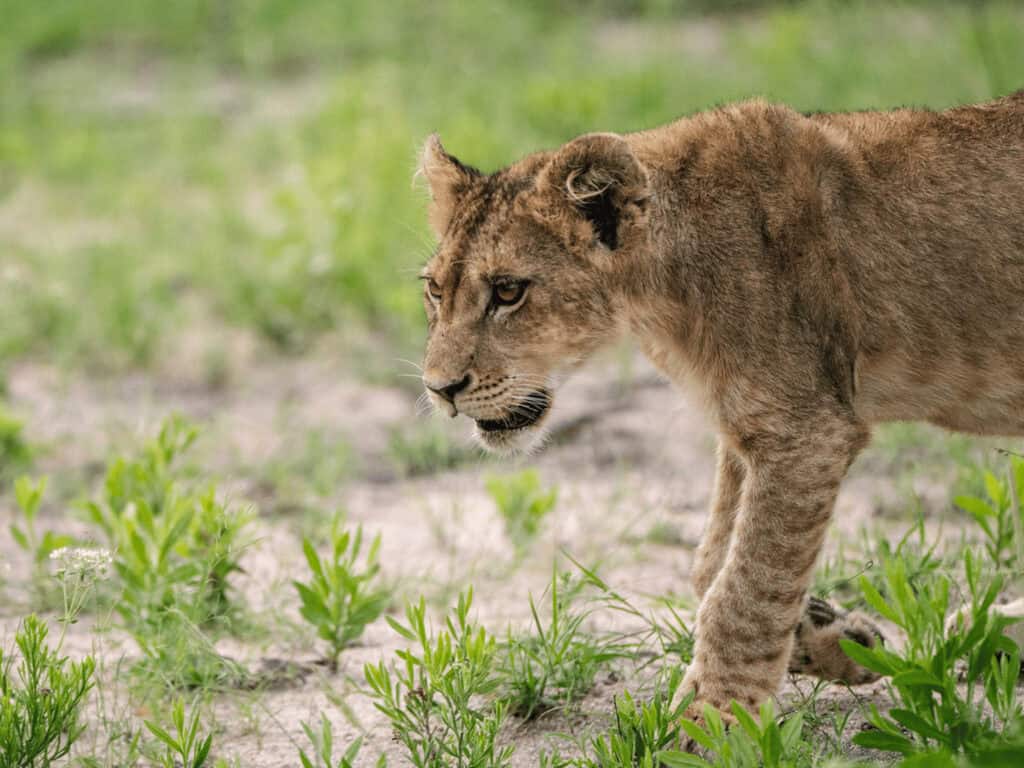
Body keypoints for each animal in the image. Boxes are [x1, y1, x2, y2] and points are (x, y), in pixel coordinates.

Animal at [416, 91, 1024, 726]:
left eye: (509, 291)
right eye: (434, 291)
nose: (440, 388)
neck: (658, 293)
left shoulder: (808, 430)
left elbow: (744, 589)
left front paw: (710, 724)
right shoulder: (744, 426)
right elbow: (713, 565)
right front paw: (838, 638)